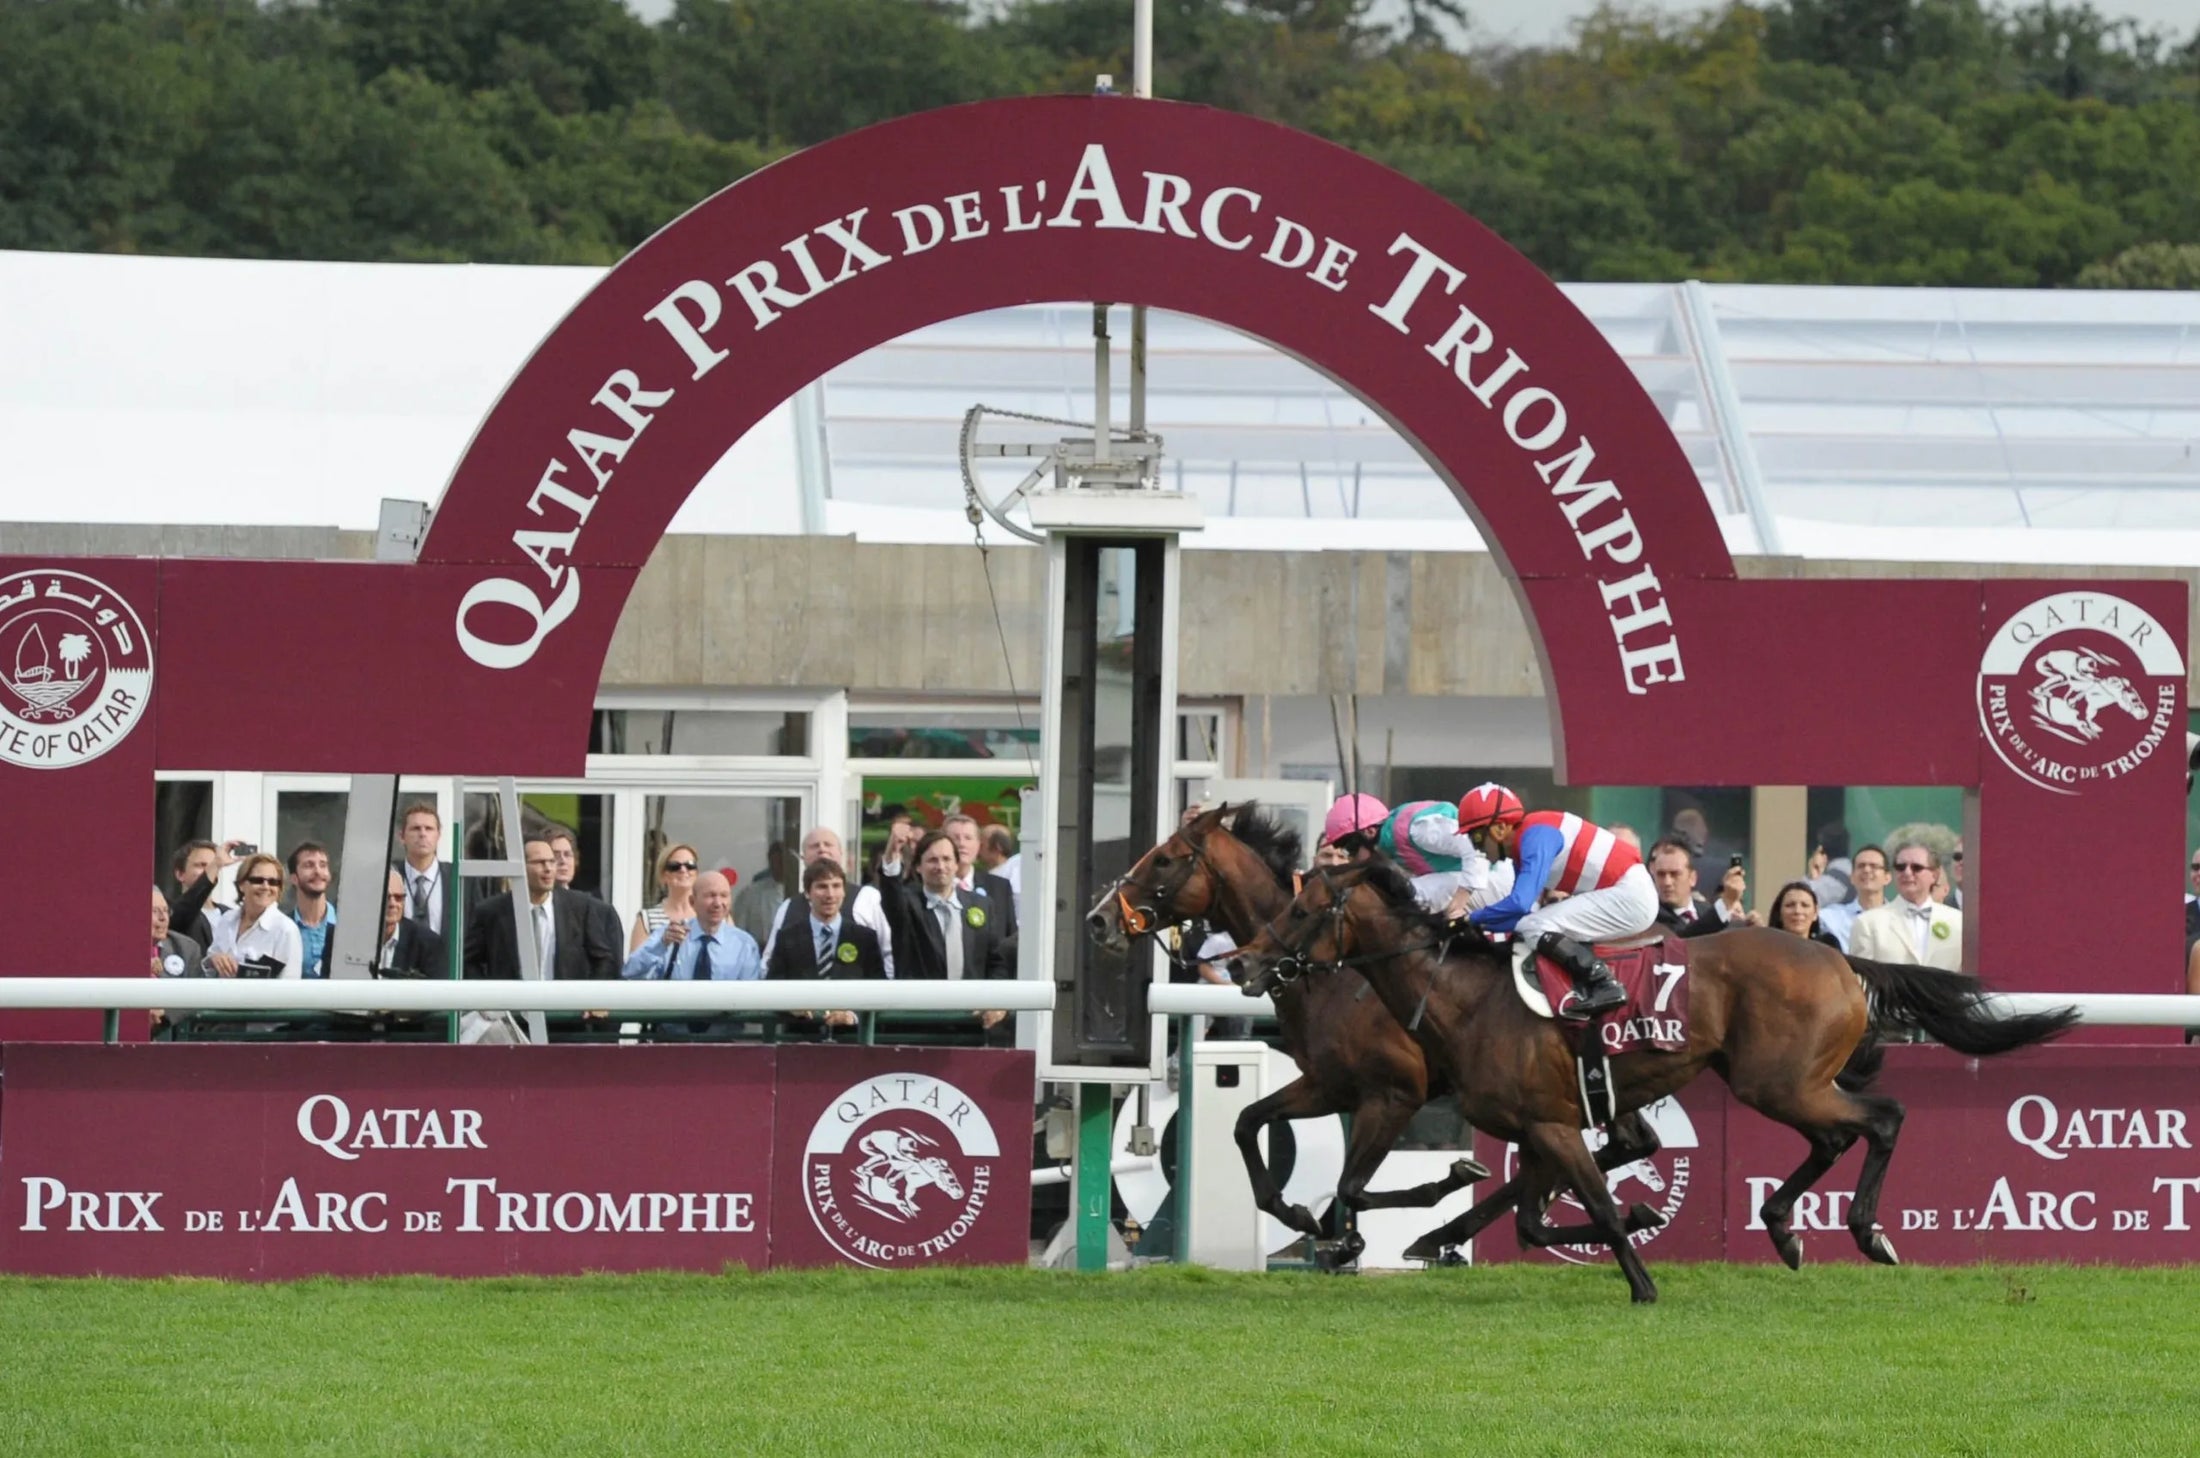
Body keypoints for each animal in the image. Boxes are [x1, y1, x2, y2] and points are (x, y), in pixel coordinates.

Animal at [1240, 862, 2076, 1301]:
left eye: (1306, 909)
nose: (1246, 963)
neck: (1465, 997)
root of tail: (1839, 958)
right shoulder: (1538, 1129)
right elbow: (1534, 1219)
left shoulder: (1527, 1121)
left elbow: (1589, 1214)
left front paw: (1641, 1278)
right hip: (1776, 1082)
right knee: (1839, 1135)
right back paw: (1785, 1227)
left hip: (1780, 1084)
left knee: (1883, 1117)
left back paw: (1866, 1231)